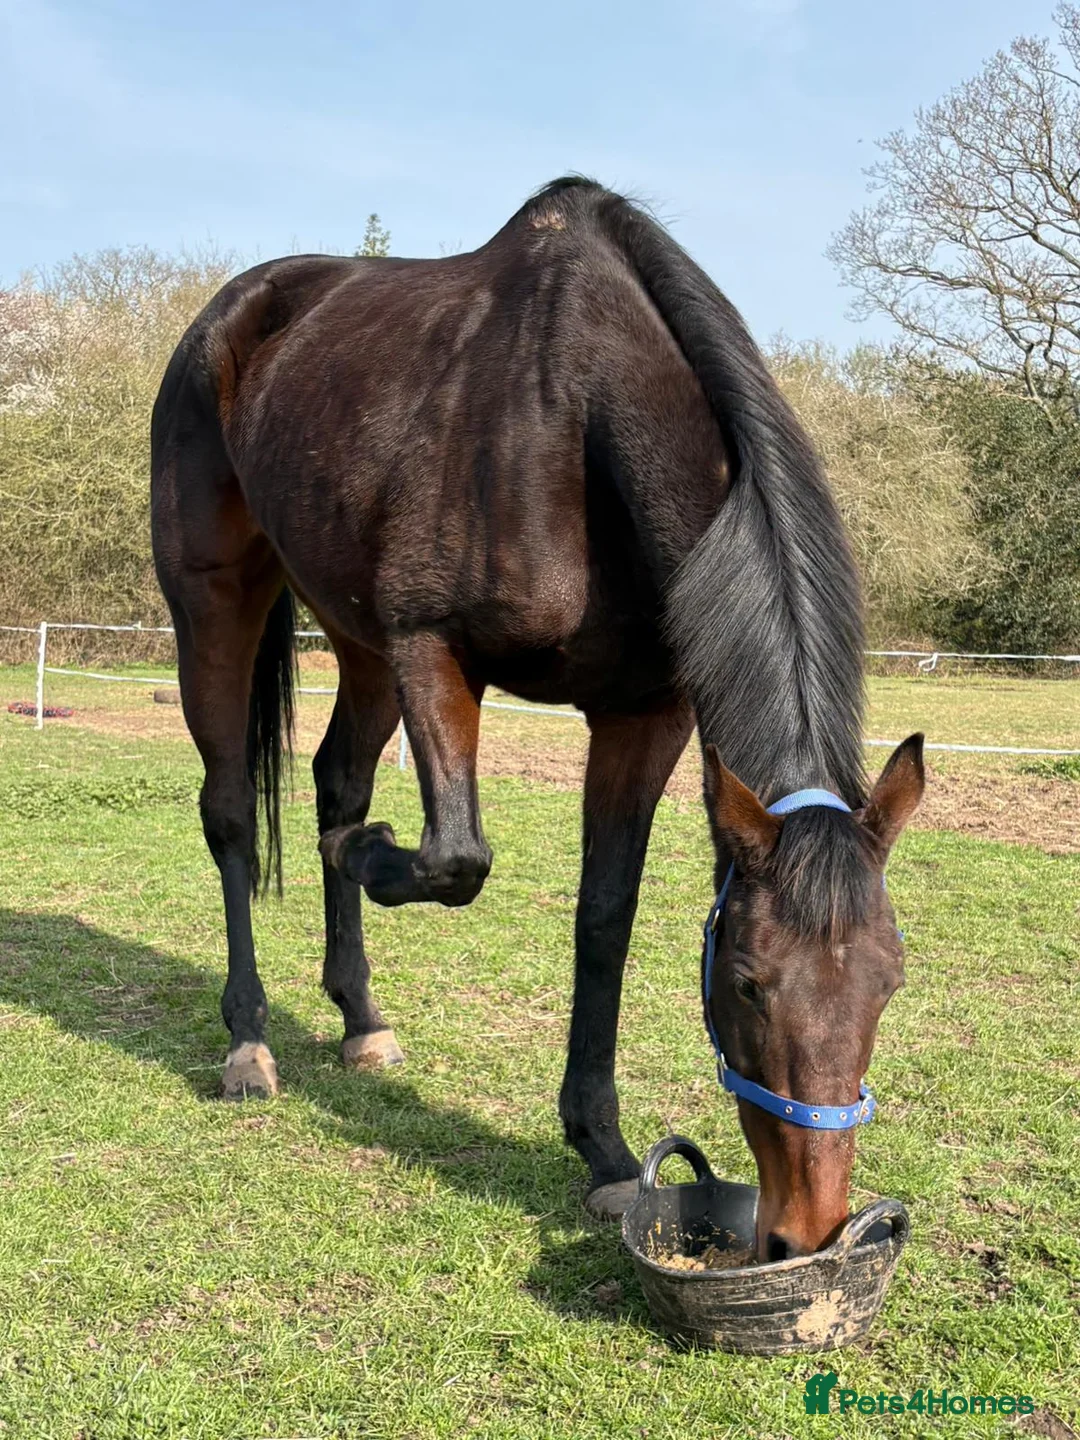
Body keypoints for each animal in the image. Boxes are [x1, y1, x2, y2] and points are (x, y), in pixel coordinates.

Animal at [151, 177, 924, 1260]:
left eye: (888, 982)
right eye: (747, 982)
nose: (807, 1232)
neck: (571, 422)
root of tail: (234, 310)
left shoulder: (643, 713)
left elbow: (605, 916)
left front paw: (603, 1152)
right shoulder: (432, 650)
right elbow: (455, 859)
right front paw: (372, 851)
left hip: (356, 640)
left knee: (334, 782)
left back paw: (361, 1018)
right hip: (218, 600)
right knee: (229, 814)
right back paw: (250, 1038)